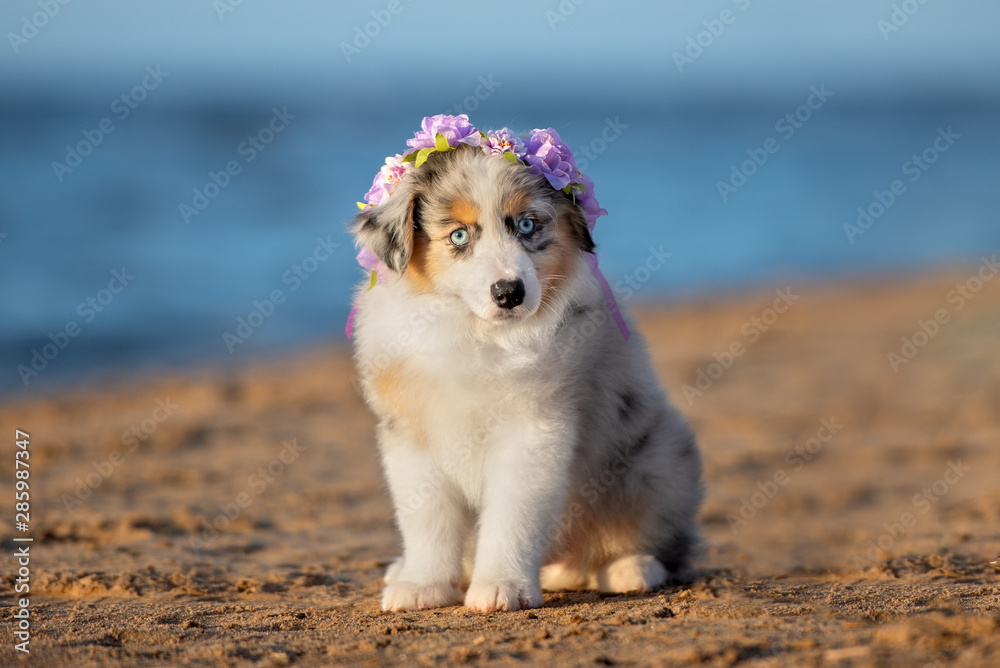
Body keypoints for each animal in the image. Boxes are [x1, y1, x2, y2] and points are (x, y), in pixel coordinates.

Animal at [352, 136, 704, 612]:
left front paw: (502, 586)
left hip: (657, 462)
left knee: (655, 538)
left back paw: (631, 568)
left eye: (526, 225)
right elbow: (426, 520)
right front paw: (423, 585)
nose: (509, 293)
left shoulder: (533, 432)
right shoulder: (411, 435)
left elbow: (512, 516)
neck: (475, 333)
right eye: (458, 235)